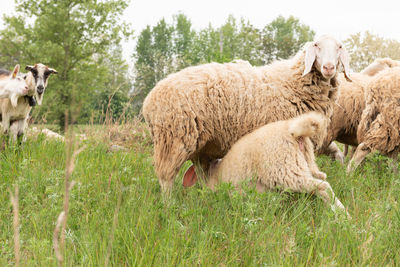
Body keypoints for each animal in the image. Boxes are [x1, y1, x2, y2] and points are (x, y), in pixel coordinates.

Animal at [143, 35, 350, 195]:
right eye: (316, 45)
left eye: (339, 46)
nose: (329, 67)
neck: (294, 82)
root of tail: (149, 100)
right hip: (174, 140)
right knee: (166, 178)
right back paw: (169, 207)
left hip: (199, 147)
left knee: (200, 175)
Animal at [183, 112, 346, 214]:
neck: (212, 171)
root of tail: (294, 132)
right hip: (306, 165)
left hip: (285, 170)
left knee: (324, 187)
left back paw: (343, 217)